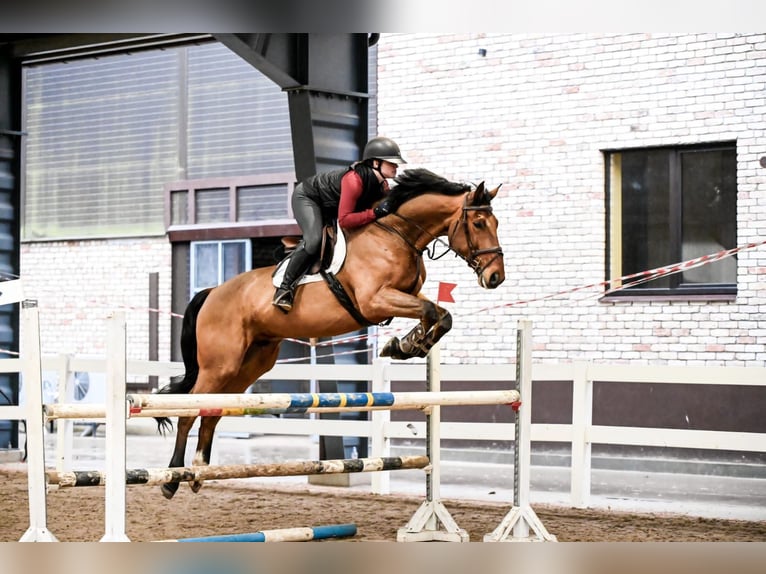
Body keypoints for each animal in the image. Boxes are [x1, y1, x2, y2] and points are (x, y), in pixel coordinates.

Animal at [155, 168, 505, 499]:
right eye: (478, 223)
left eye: (496, 222)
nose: (495, 277)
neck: (397, 236)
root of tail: (212, 293)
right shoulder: (374, 301)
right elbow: (433, 311)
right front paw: (410, 344)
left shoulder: (403, 296)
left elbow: (439, 313)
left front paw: (406, 344)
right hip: (220, 364)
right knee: (188, 410)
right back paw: (172, 479)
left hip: (249, 364)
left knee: (211, 410)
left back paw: (199, 473)